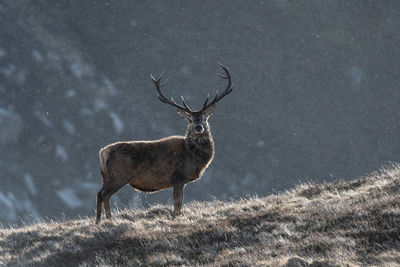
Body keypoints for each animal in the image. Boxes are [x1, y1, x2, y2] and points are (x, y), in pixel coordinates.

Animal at [95, 62, 233, 224]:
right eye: (190, 120)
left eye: (205, 118)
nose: (199, 127)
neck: (194, 157)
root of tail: (102, 152)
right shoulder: (178, 177)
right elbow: (178, 203)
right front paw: (176, 218)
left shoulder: (180, 180)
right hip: (118, 175)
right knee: (103, 194)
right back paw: (104, 220)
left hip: (106, 176)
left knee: (102, 194)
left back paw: (102, 220)